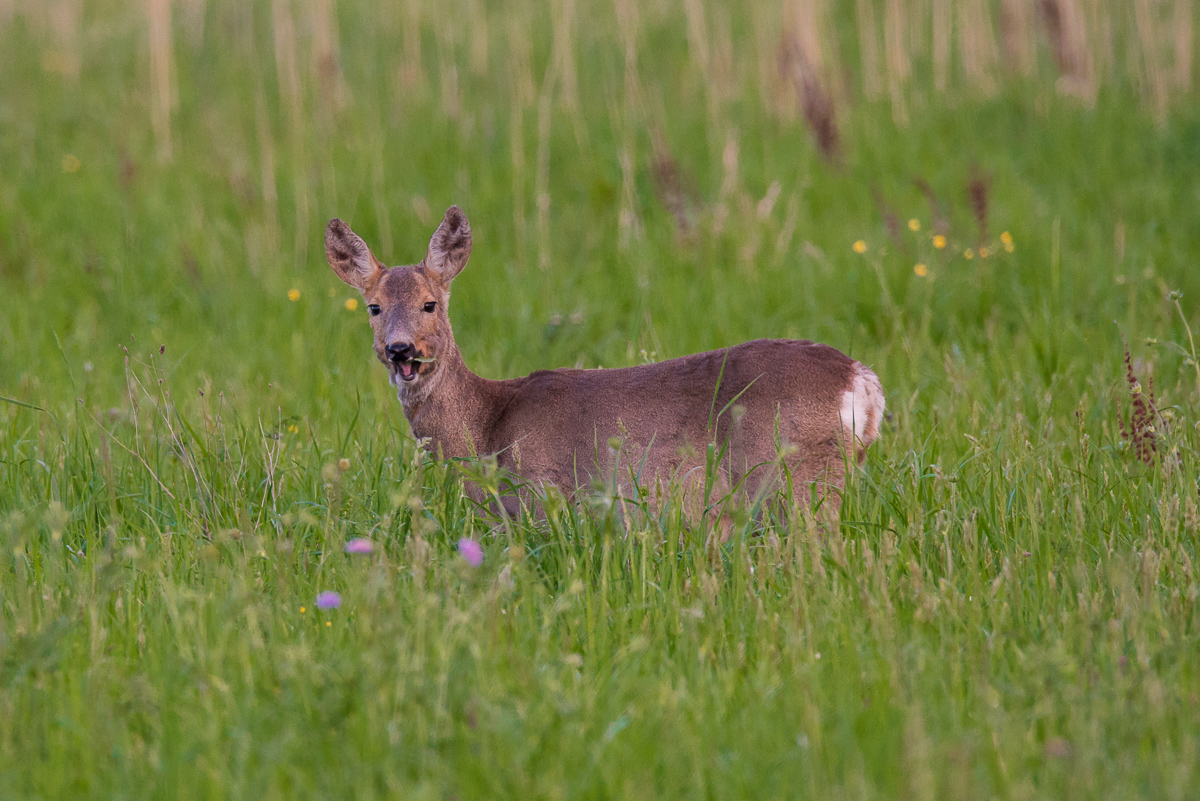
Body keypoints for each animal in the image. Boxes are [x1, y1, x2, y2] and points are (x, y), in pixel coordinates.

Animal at [325, 205, 884, 526]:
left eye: (429, 304)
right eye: (373, 307)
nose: (401, 350)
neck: (486, 429)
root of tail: (864, 383)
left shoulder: (540, 499)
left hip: (790, 476)